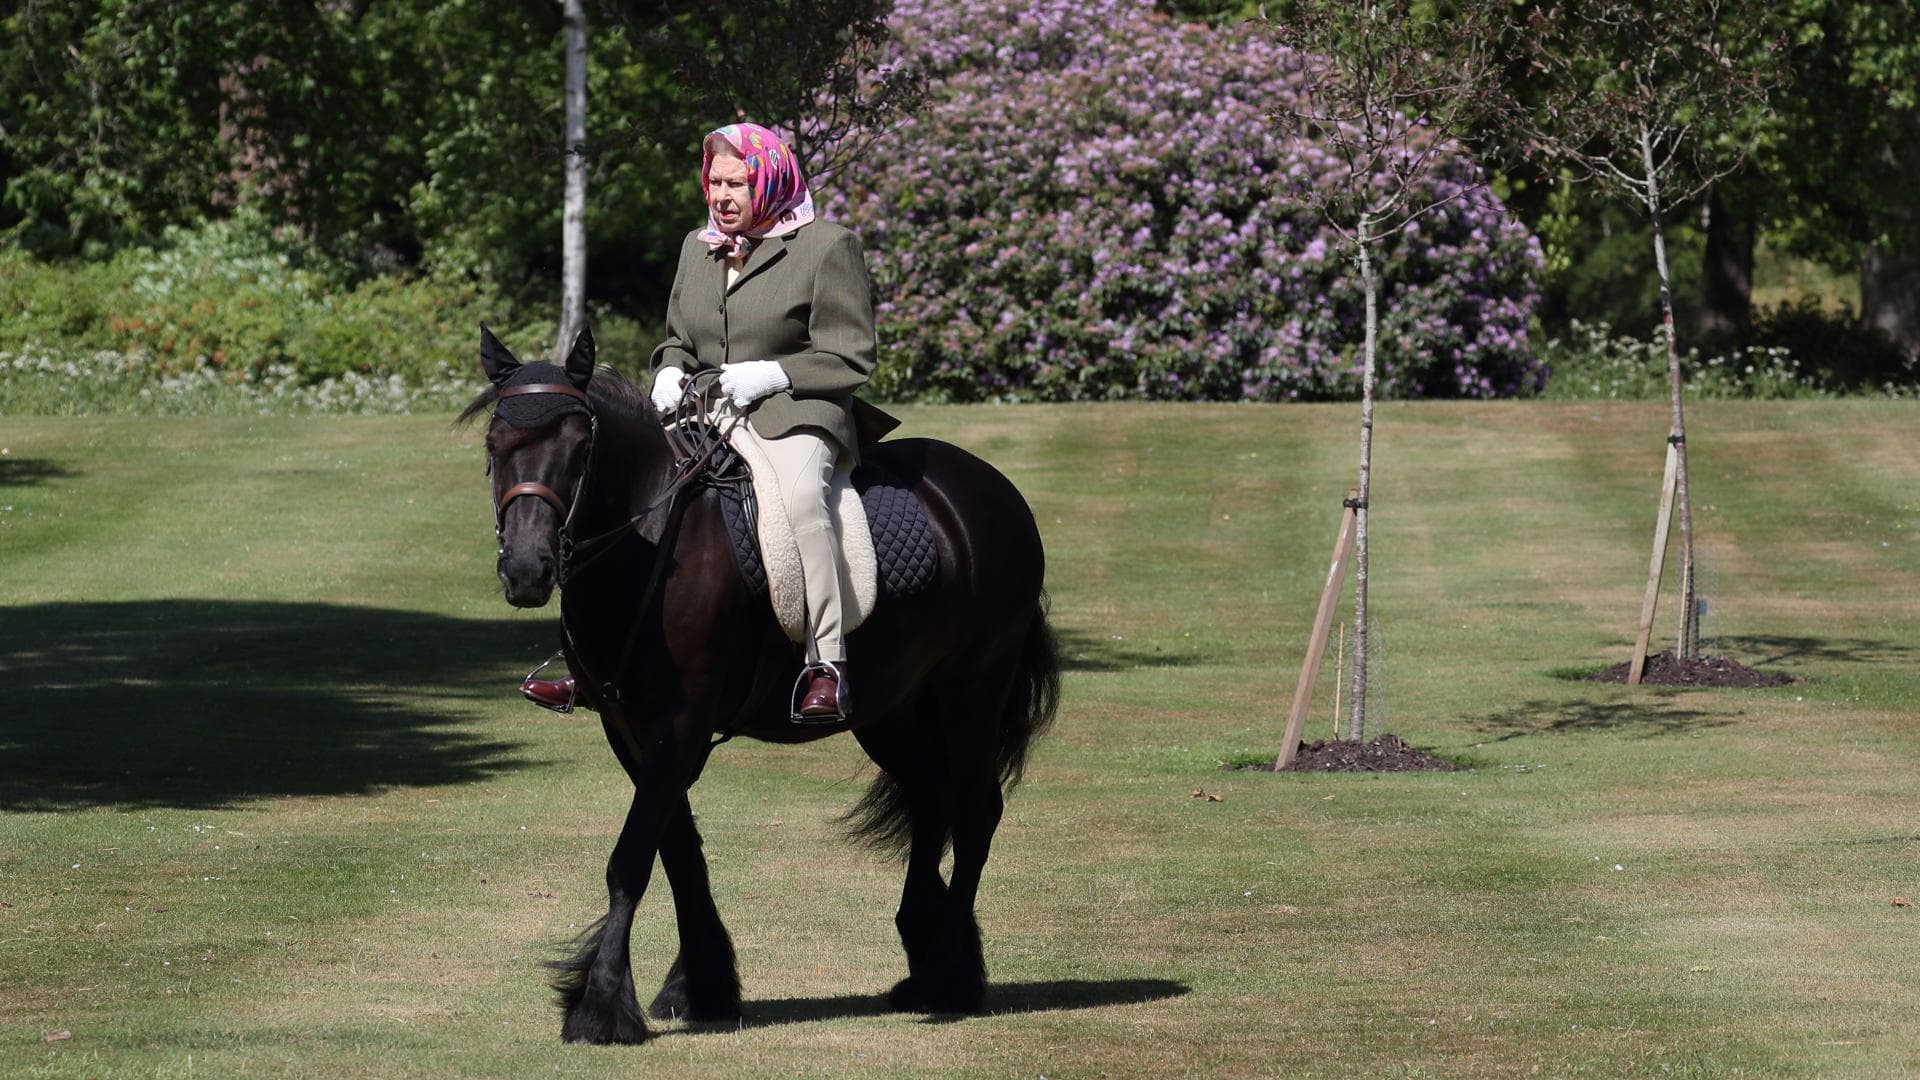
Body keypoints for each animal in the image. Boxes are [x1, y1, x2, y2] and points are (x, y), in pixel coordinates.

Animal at [461, 326, 1060, 1045]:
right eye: (494, 446)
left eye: (581, 449)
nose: (527, 570)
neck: (651, 542)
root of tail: (988, 489)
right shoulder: (628, 727)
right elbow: (678, 851)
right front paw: (700, 985)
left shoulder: (681, 723)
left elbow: (632, 857)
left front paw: (601, 1005)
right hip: (890, 710)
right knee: (930, 799)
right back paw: (924, 953)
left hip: (972, 688)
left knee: (973, 811)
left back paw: (952, 975)